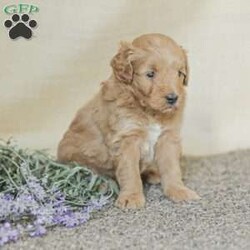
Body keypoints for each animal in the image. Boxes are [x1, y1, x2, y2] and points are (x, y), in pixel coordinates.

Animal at [57, 33, 200, 209]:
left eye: (179, 73)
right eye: (150, 74)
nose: (173, 98)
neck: (149, 111)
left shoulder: (168, 137)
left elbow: (172, 168)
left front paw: (179, 191)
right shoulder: (126, 140)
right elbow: (130, 171)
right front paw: (131, 197)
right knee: (86, 175)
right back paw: (102, 184)